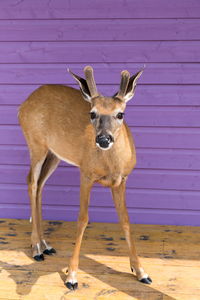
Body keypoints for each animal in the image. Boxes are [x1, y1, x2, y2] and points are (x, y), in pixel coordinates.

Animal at [18, 65, 152, 288]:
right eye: (92, 113)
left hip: (54, 154)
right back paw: (36, 247)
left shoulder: (121, 180)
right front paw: (71, 276)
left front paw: (141, 271)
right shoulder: (86, 173)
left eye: (120, 114)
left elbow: (125, 219)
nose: (104, 139)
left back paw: (45, 245)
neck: (111, 166)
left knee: (41, 185)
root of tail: (24, 105)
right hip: (36, 143)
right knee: (32, 182)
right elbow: (82, 219)